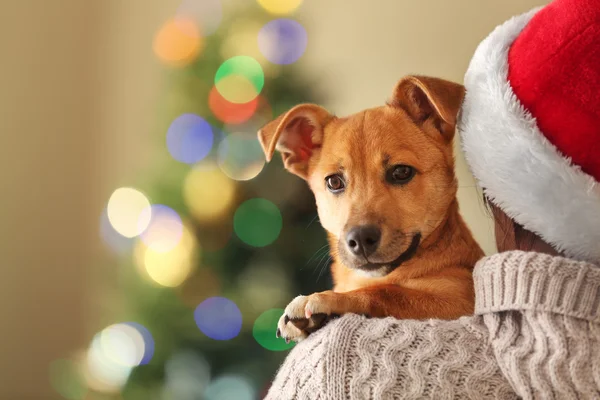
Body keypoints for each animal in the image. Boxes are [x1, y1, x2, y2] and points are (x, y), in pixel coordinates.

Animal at [256, 75, 482, 340]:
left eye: (401, 172)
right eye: (334, 182)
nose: (361, 239)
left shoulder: (461, 296)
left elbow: (390, 293)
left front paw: (326, 298)